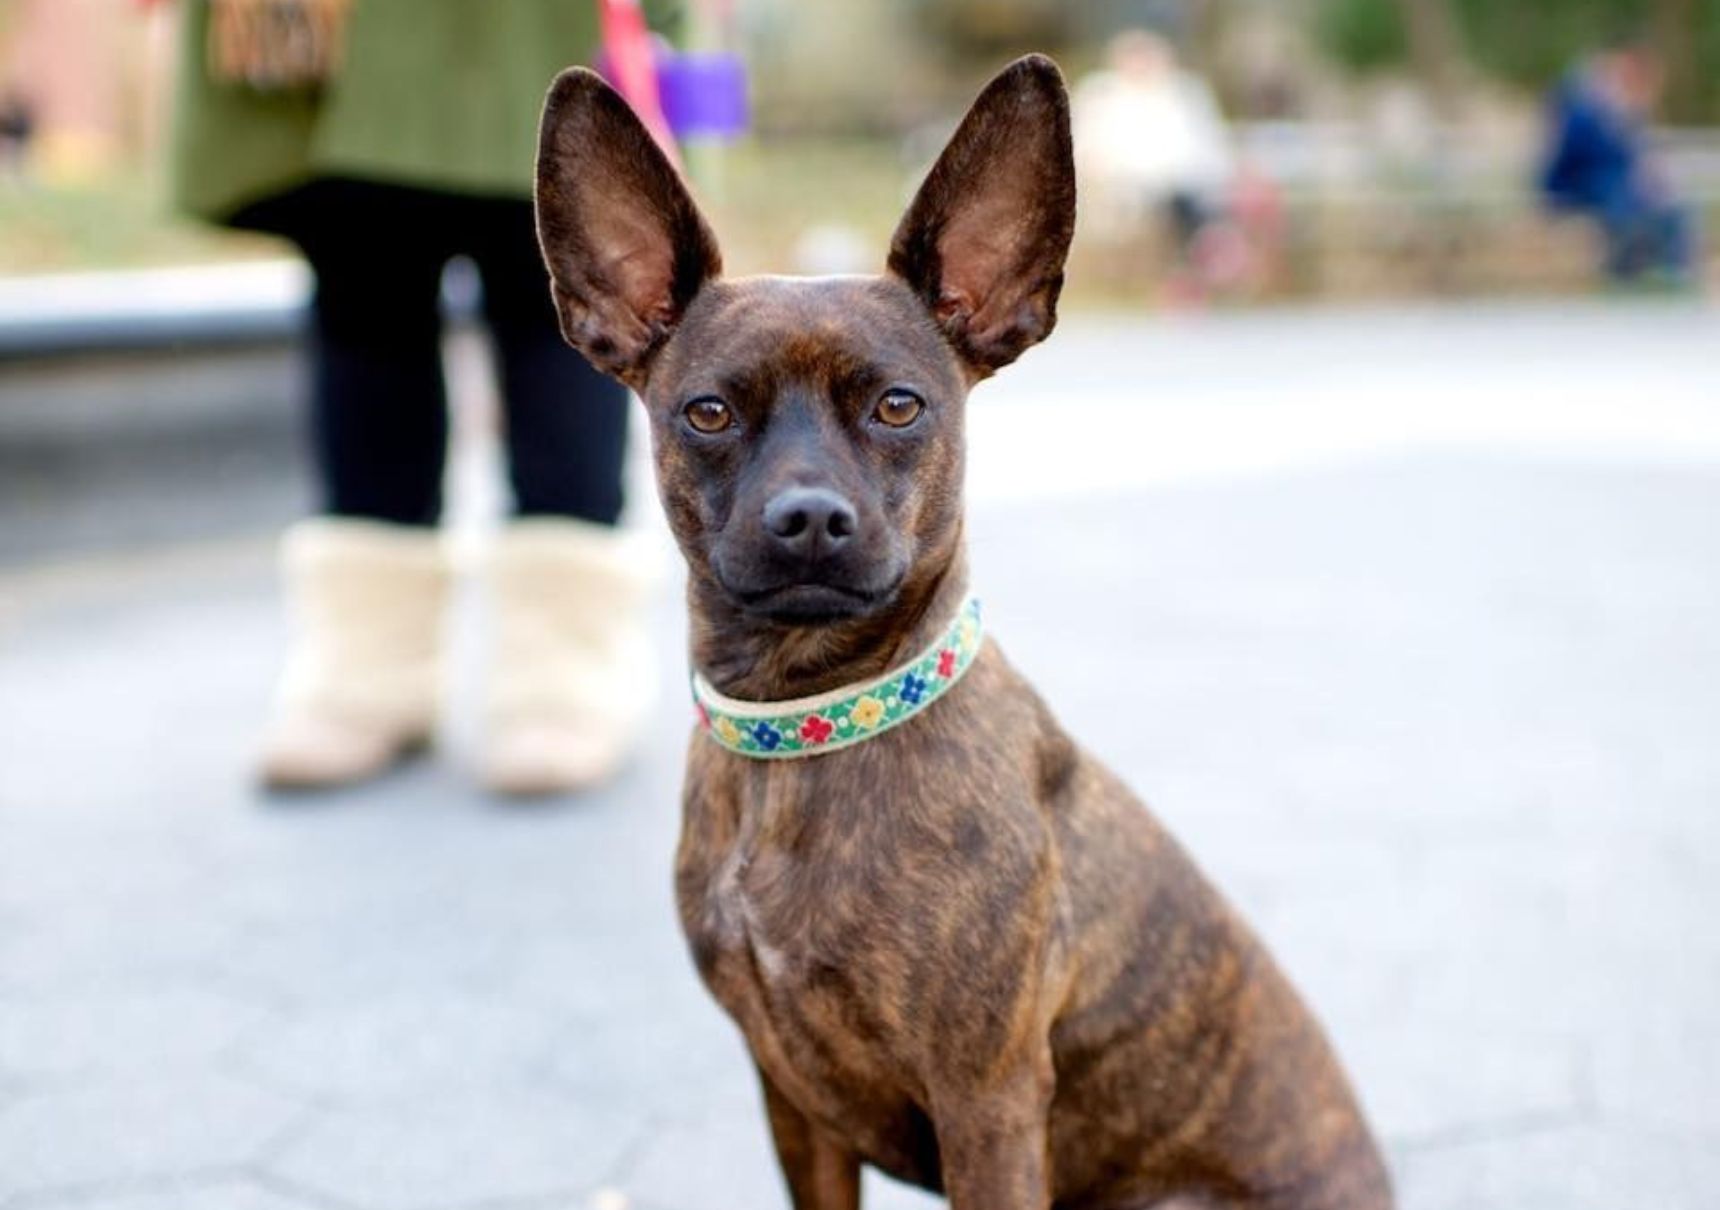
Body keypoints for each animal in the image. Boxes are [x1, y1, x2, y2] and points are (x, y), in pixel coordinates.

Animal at [529, 54, 1389, 1210]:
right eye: (707, 413)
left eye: (899, 405)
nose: (809, 518)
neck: (809, 725)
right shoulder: (793, 1101)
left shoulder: (986, 1101)